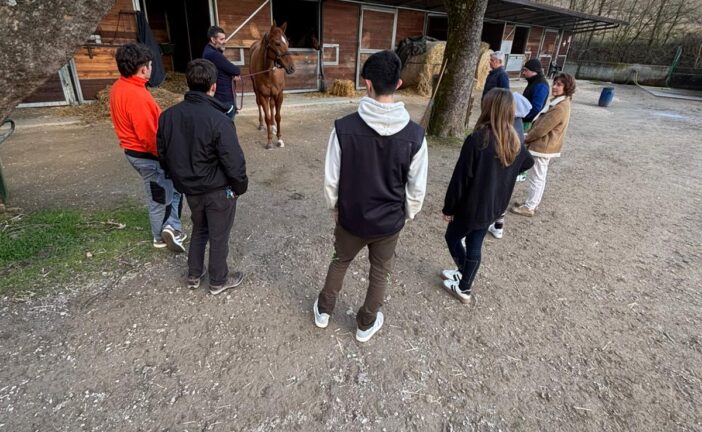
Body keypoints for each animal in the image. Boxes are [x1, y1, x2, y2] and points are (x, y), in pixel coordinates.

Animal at [250, 22, 294, 150]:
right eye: (277, 43)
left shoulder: (279, 94)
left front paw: (279, 139)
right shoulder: (263, 95)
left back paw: (274, 127)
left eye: (287, 42)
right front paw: (269, 142)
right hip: (256, 90)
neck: (269, 73)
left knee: (272, 106)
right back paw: (261, 125)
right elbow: (268, 117)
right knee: (259, 105)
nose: (292, 67)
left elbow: (277, 116)